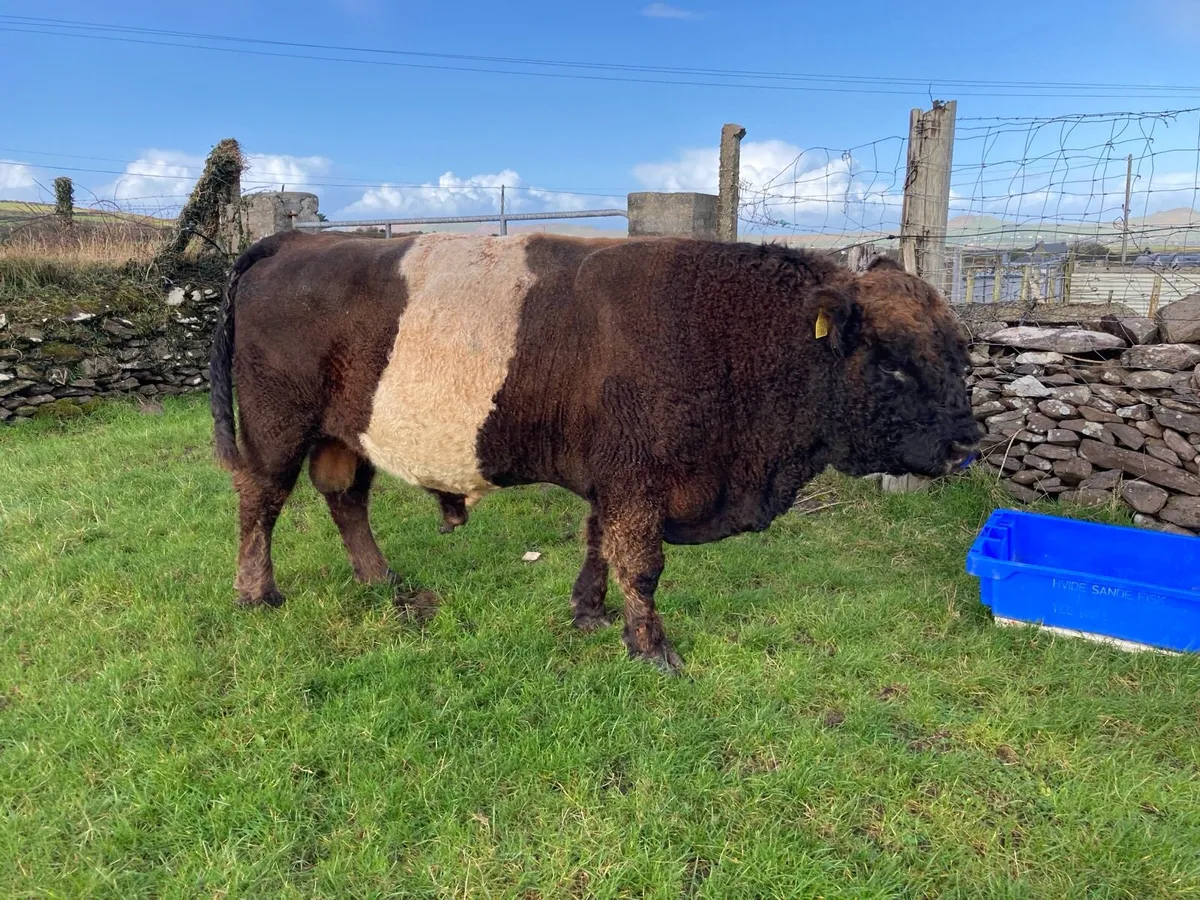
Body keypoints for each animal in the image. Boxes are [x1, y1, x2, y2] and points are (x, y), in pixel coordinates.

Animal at [208, 230, 980, 673]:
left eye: (959, 350)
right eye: (894, 364)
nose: (967, 442)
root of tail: (292, 240)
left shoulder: (612, 479)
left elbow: (597, 545)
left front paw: (590, 614)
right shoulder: (638, 479)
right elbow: (642, 564)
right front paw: (653, 649)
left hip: (344, 433)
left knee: (344, 496)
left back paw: (382, 581)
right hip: (278, 426)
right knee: (261, 499)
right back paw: (256, 593)